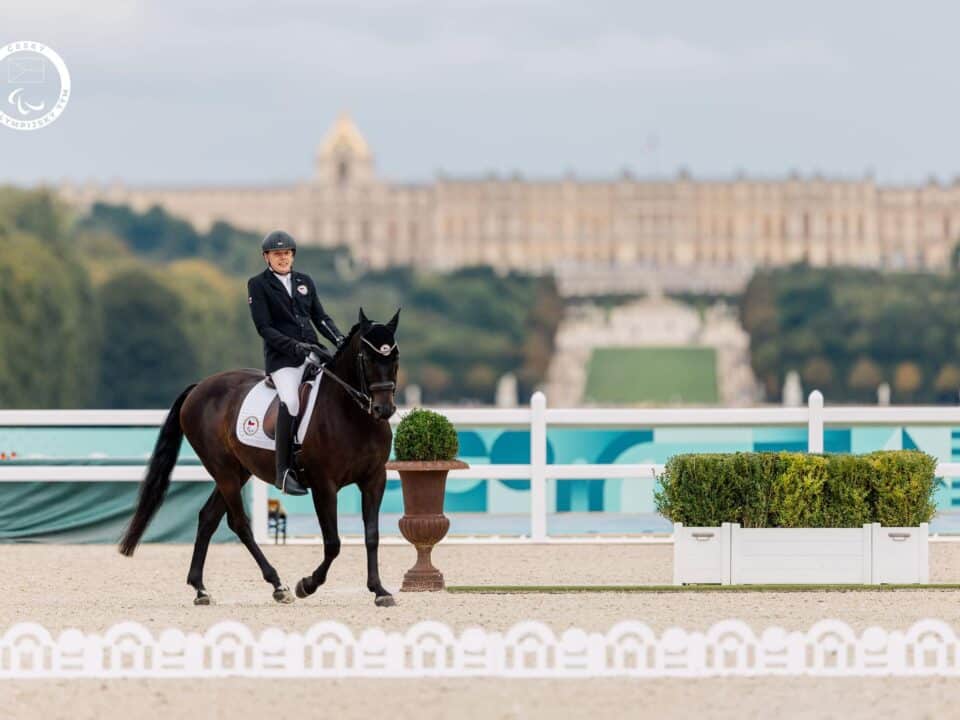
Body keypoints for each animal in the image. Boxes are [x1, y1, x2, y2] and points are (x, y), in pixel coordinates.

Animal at [119, 310, 398, 608]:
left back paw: (201, 589)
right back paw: (278, 585)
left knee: (208, 517)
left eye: (394, 357)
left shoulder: (375, 479)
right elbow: (333, 543)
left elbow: (372, 536)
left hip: (239, 470)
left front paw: (380, 590)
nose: (384, 409)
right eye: (367, 358)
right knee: (239, 523)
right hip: (224, 471)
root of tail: (199, 387)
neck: (352, 415)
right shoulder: (324, 485)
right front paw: (307, 585)